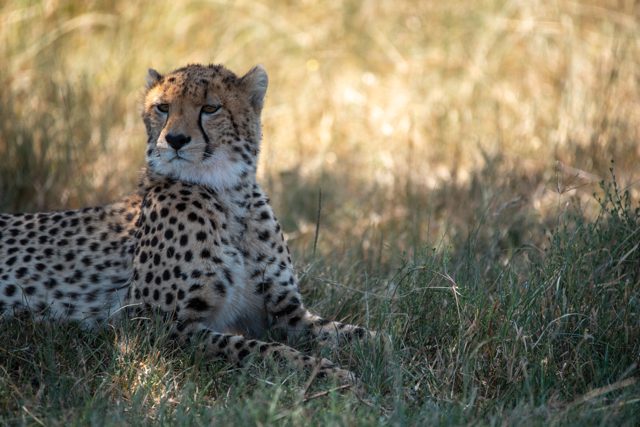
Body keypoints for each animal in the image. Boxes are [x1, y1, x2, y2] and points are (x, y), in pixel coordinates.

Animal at [0, 63, 377, 385]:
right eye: (163, 108)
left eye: (210, 108)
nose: (176, 140)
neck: (227, 195)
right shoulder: (156, 327)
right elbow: (262, 349)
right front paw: (328, 373)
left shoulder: (287, 314)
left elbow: (357, 332)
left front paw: (378, 345)